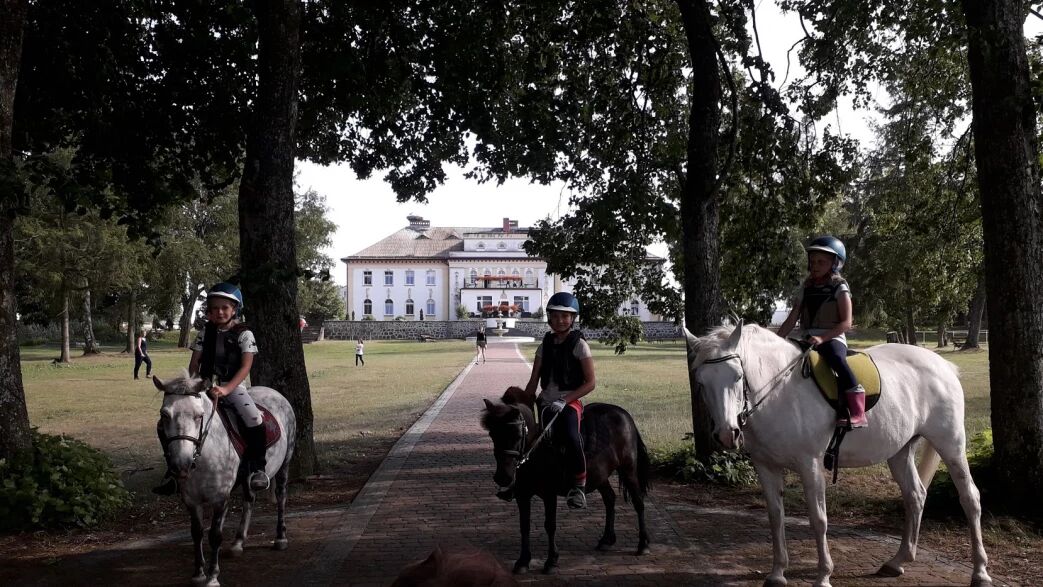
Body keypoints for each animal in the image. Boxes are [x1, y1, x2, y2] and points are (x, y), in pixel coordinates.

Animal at [153, 373, 296, 587]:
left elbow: (215, 535)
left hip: (285, 462)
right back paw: (238, 542)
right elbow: (196, 532)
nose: (181, 465)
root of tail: (275, 393)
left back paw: (280, 538)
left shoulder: (220, 498)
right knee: (249, 500)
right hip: (246, 478)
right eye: (164, 415)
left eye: (199, 415)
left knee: (281, 497)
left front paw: (212, 576)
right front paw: (198, 573)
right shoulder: (191, 499)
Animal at [480, 386, 651, 575]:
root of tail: (624, 414)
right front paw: (523, 561)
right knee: (609, 498)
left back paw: (643, 544)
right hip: (600, 474)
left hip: (628, 469)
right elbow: (524, 525)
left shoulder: (549, 494)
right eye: (492, 434)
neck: (536, 453)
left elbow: (550, 525)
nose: (503, 476)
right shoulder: (522, 495)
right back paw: (607, 539)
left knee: (638, 501)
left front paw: (551, 561)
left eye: (517, 435)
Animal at [685, 323, 991, 587]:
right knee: (915, 496)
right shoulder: (766, 467)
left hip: (951, 444)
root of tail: (944, 366)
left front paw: (823, 576)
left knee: (970, 498)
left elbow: (818, 519)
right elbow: (775, 517)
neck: (779, 392)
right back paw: (898, 561)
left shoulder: (810, 464)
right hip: (900, 451)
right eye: (700, 383)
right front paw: (777, 573)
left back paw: (980, 572)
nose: (727, 434)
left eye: (738, 376)